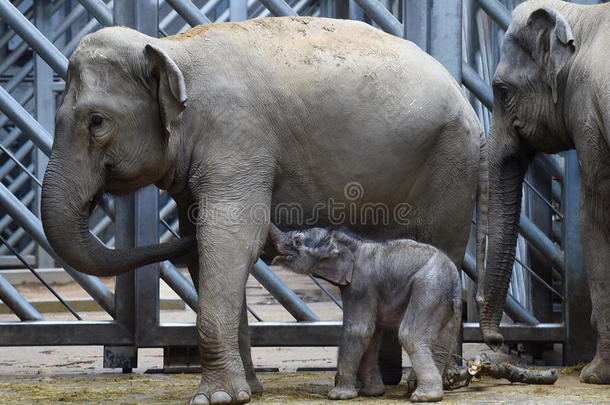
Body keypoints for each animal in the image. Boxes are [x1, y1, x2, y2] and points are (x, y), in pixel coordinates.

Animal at [268, 224, 458, 400]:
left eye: (297, 241)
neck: (349, 243)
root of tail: (455, 279)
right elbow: (371, 335)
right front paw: (372, 392)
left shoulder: (361, 287)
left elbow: (358, 331)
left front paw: (338, 395)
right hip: (441, 299)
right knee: (440, 339)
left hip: (429, 288)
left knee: (410, 335)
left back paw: (424, 397)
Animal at [478, 0, 604, 384]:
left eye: (503, 92)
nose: (496, 341)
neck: (581, 16)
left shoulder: (589, 111)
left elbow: (593, 213)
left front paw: (594, 376)